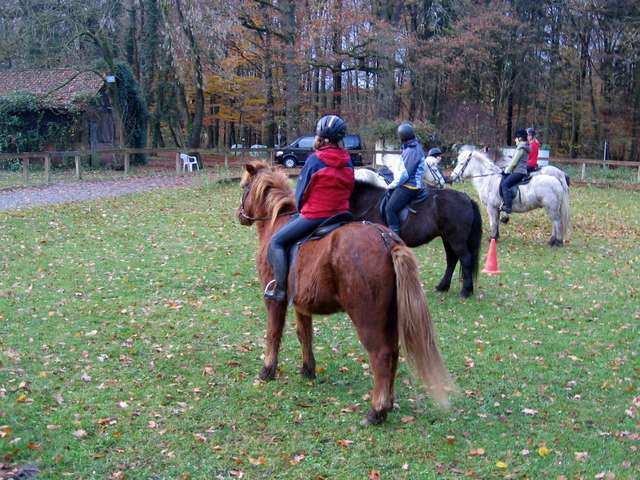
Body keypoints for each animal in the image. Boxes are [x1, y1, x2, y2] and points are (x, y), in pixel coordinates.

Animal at [238, 163, 452, 426]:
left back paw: (376, 411)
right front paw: (307, 369)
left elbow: (273, 334)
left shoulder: (275, 301)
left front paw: (267, 371)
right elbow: (304, 335)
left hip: (367, 318)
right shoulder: (301, 304)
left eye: (244, 187)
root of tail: (387, 239)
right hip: (389, 316)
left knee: (381, 355)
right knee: (393, 352)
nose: (240, 215)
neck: (276, 222)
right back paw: (388, 403)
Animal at [348, 182, 482, 298]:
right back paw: (443, 286)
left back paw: (466, 291)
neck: (369, 203)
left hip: (456, 239)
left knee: (465, 259)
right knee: (452, 260)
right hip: (447, 238)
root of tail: (467, 199)